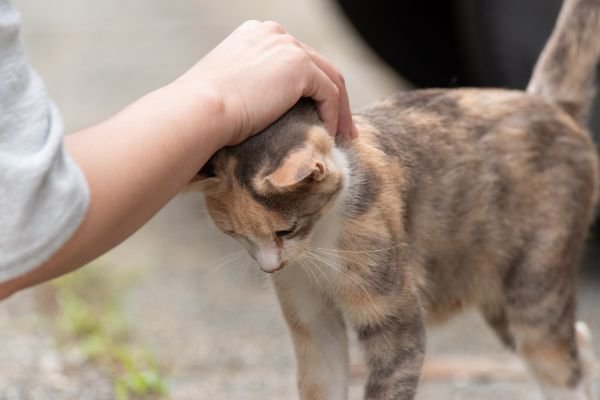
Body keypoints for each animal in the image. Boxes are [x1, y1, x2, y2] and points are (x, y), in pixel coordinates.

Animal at [197, 0, 600, 398]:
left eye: (287, 230)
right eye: (235, 235)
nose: (269, 268)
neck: (320, 243)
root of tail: (547, 103)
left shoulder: (396, 324)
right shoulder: (312, 319)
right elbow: (321, 383)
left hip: (533, 289)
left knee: (559, 363)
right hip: (499, 296)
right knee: (578, 344)